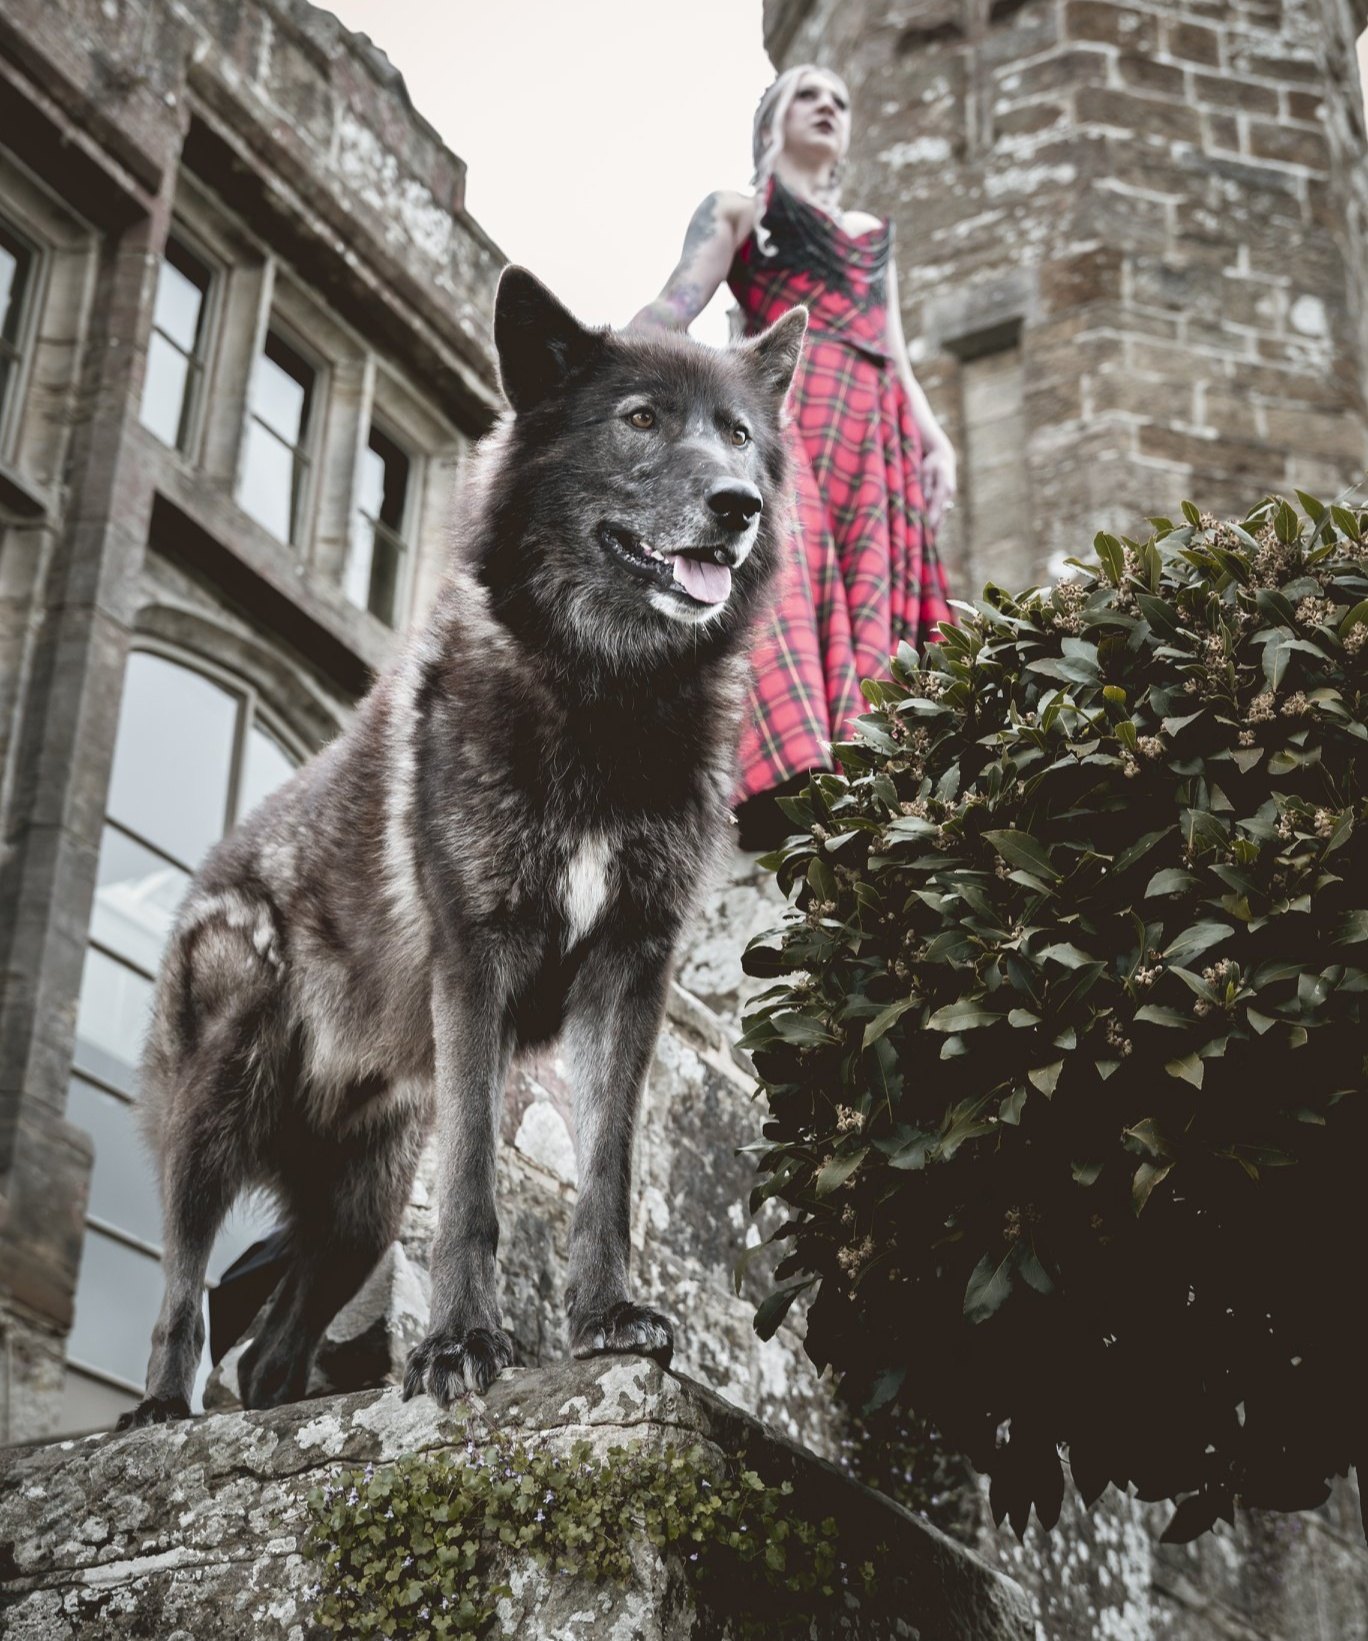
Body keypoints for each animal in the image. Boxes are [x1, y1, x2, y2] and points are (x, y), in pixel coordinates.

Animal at [115, 268, 806, 1426]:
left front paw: (607, 1317)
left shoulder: (628, 975)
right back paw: (164, 1410)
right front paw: (459, 1345)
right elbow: (477, 1185)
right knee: (182, 1283)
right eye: (641, 420)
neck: (602, 696)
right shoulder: (478, 964)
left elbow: (608, 1175)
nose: (736, 507)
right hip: (216, 1110)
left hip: (359, 1209)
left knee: (269, 1343)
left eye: (742, 436)